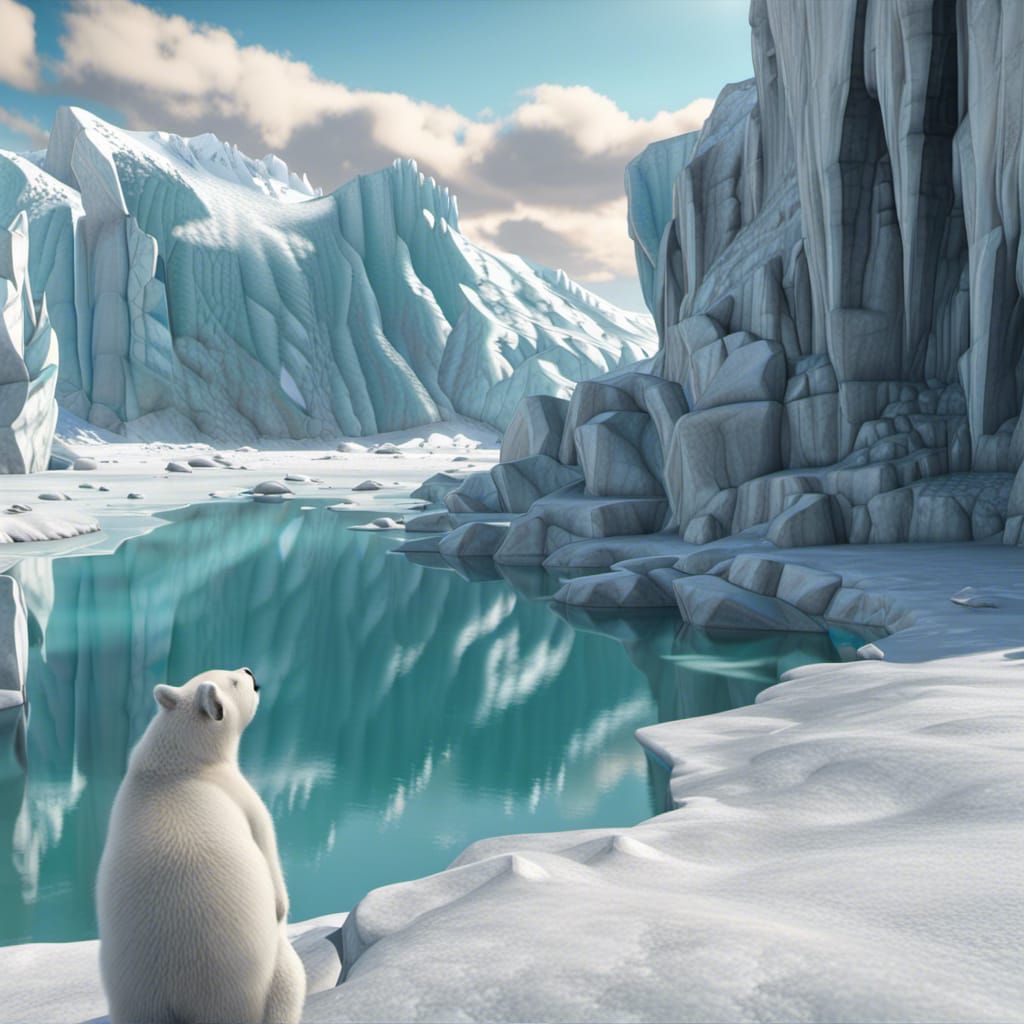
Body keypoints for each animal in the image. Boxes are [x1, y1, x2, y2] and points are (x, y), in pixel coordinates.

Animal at [97, 667, 306, 1024]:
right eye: (233, 682)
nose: (249, 671)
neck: (175, 764)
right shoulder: (238, 793)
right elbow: (266, 837)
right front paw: (281, 906)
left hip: (136, 995)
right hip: (253, 975)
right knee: (289, 980)